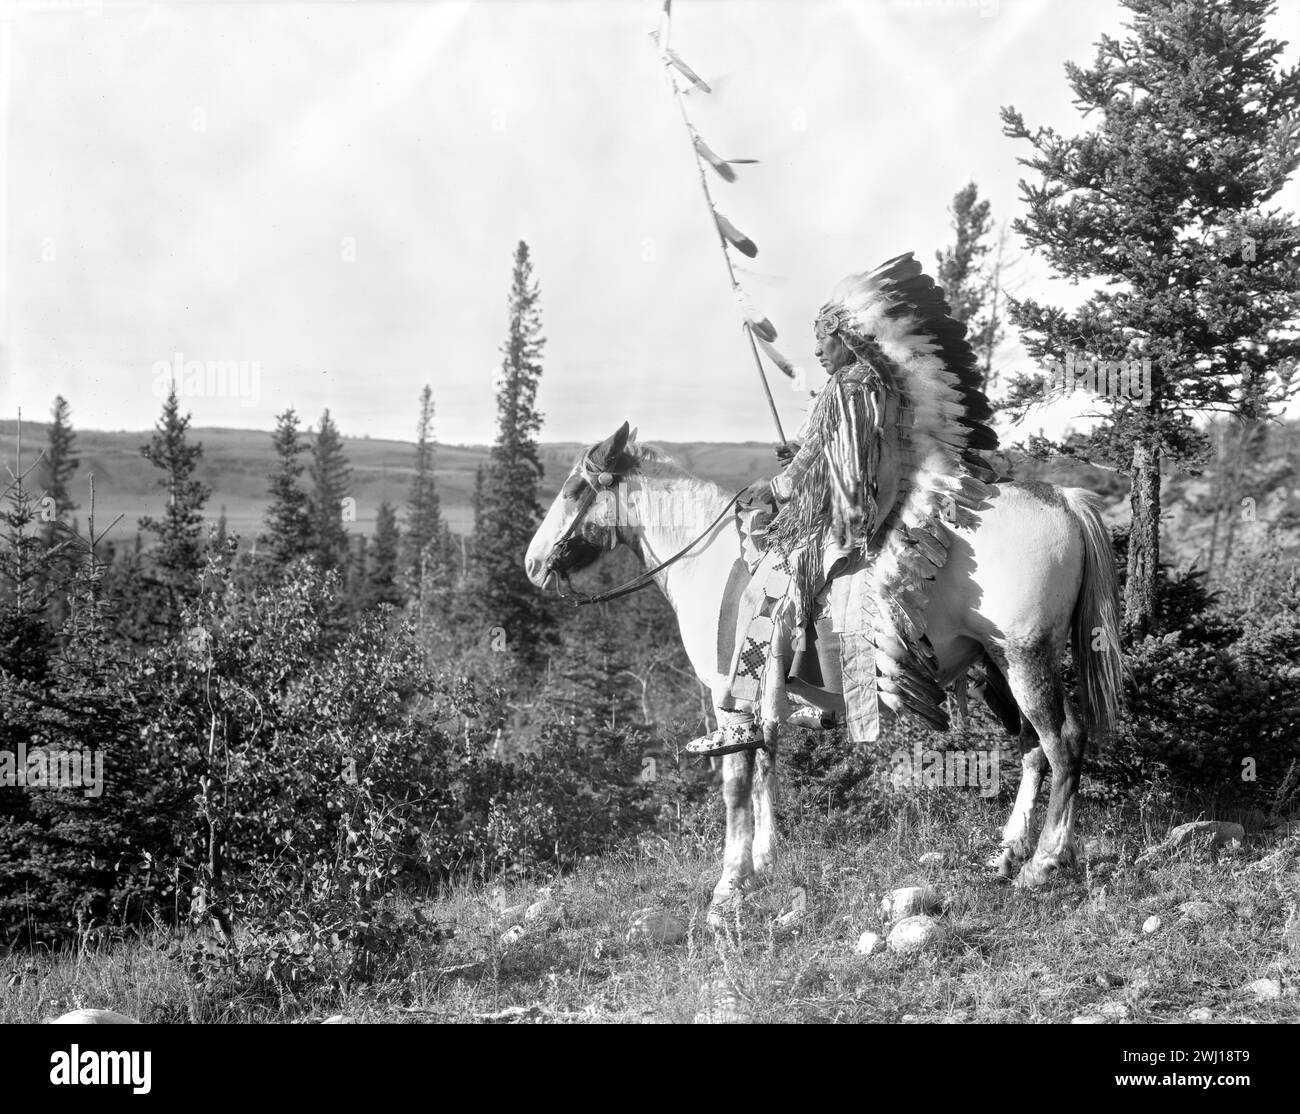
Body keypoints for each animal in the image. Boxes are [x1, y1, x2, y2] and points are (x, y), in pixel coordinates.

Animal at [522, 421, 1123, 915]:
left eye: (573, 489)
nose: (532, 562)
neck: (708, 561)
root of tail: (1062, 499)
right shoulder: (761, 700)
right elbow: (766, 764)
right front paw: (765, 858)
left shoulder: (727, 699)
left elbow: (736, 783)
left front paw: (729, 885)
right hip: (995, 663)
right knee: (1031, 747)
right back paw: (1007, 853)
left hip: (1024, 655)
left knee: (1063, 741)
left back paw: (1043, 862)